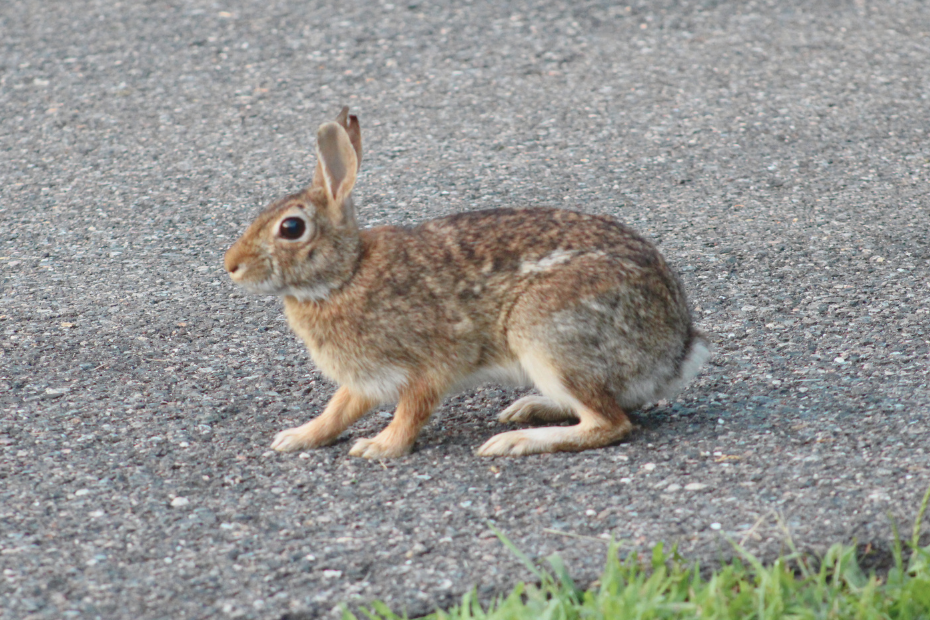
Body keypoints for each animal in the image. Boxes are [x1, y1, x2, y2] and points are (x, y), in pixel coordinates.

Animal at [224, 107, 710, 459]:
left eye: (291, 228)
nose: (231, 265)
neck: (346, 274)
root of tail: (676, 350)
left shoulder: (428, 364)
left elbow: (411, 410)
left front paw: (379, 448)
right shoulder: (367, 377)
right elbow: (338, 408)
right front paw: (298, 437)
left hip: (547, 334)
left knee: (609, 423)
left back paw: (514, 442)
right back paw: (528, 409)